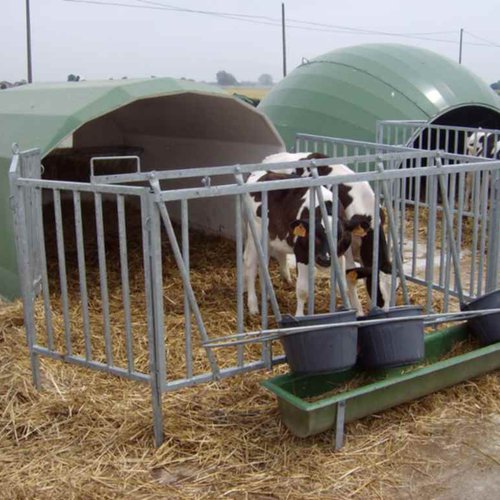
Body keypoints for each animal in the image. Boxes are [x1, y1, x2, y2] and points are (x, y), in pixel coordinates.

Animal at [244, 170, 356, 317]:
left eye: (339, 236)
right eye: (315, 236)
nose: (324, 259)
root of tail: (263, 173)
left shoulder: (339, 254)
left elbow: (340, 286)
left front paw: (346, 307)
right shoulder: (301, 253)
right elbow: (302, 290)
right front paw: (299, 316)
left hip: (268, 239)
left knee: (264, 264)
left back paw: (267, 296)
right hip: (255, 233)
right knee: (250, 265)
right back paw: (253, 306)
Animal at [262, 152, 397, 314]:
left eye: (395, 289)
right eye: (378, 291)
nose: (386, 312)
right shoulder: (346, 250)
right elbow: (350, 279)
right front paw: (358, 310)